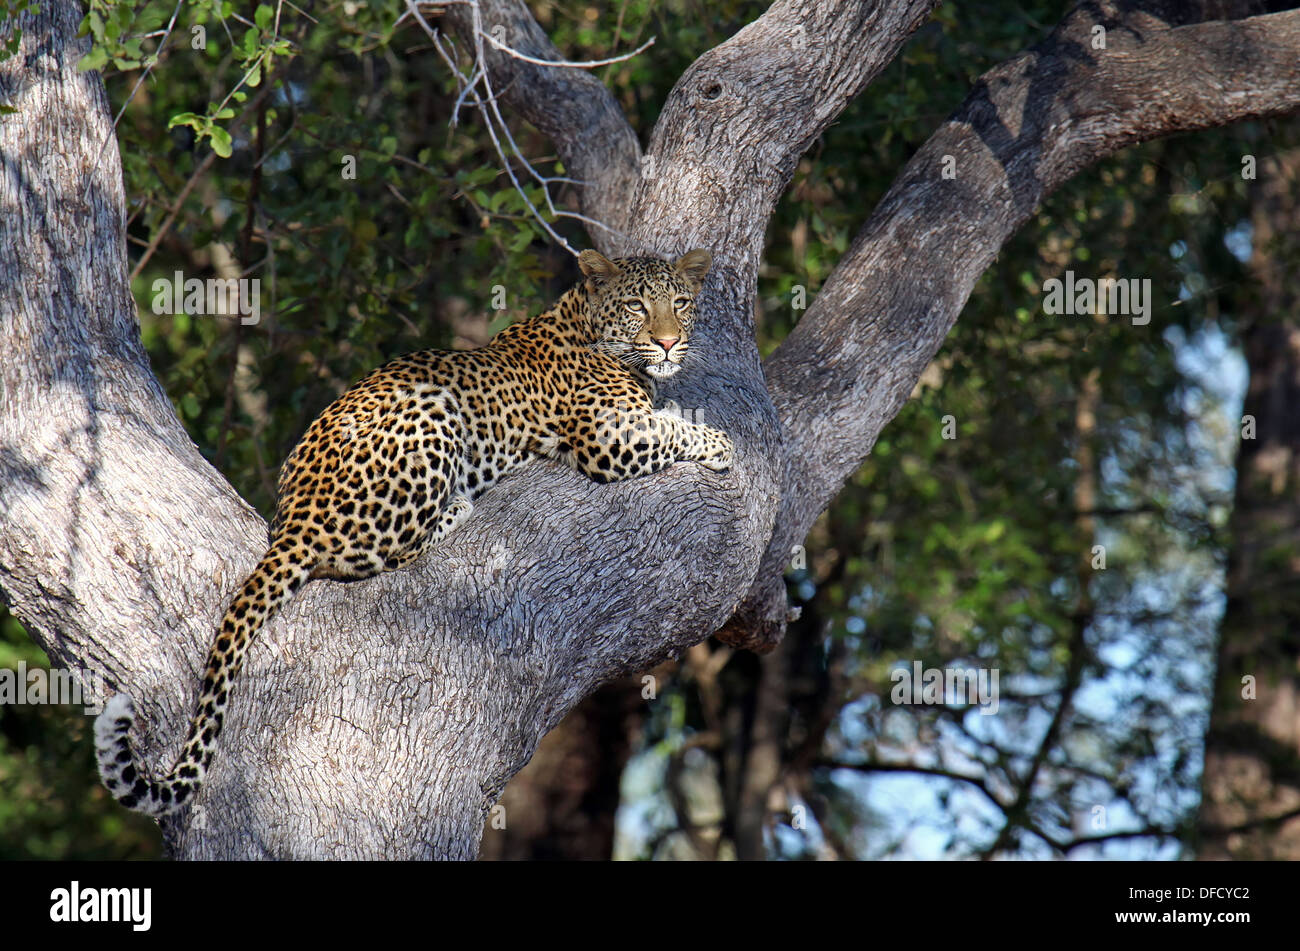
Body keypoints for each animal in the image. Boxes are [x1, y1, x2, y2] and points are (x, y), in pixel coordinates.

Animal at [94, 246, 733, 815]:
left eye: (679, 302)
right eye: (637, 306)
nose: (669, 342)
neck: (586, 323)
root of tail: (291, 520)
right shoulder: (606, 436)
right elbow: (673, 428)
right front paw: (723, 445)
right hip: (430, 408)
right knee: (375, 552)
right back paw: (458, 507)